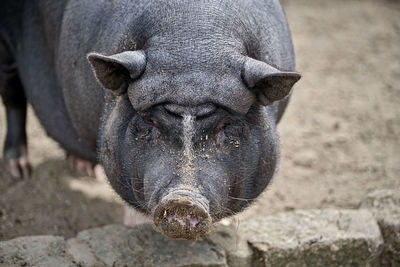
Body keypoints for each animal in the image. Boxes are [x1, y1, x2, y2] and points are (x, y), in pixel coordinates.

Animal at [0, 0, 300, 240]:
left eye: (228, 127)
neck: (193, 45)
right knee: (13, 97)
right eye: (148, 124)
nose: (183, 200)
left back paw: (81, 170)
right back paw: (18, 170)